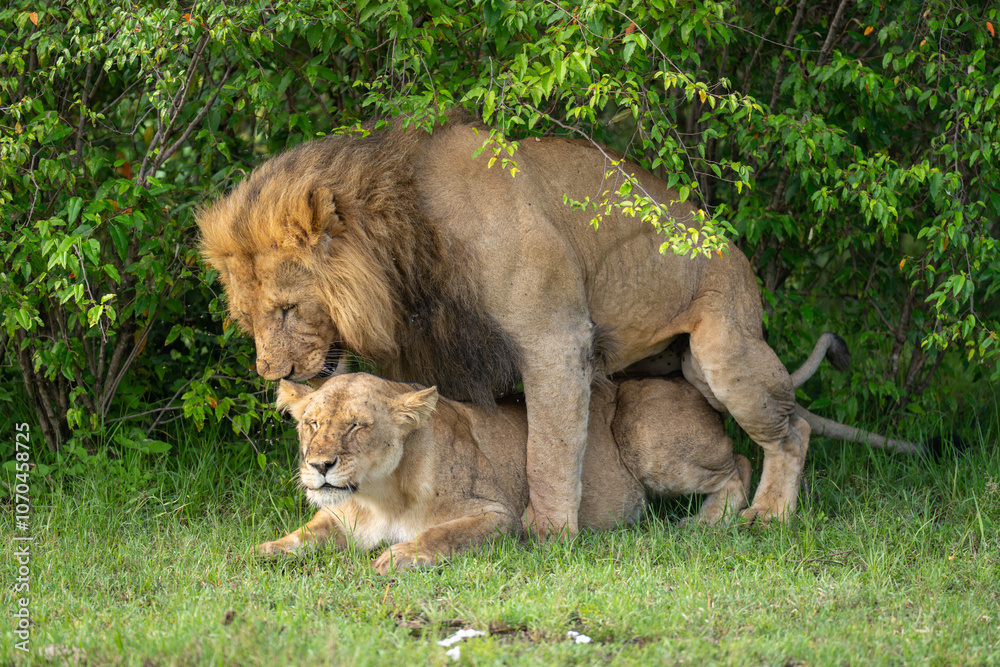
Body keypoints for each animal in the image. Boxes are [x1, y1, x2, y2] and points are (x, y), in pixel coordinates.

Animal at [197, 111, 885, 534]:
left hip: (723, 351)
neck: (407, 257)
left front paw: (550, 531)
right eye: (248, 317)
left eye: (287, 309)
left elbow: (549, 445)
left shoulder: (556, 336)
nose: (273, 375)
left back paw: (765, 517)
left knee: (791, 430)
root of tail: (735, 252)